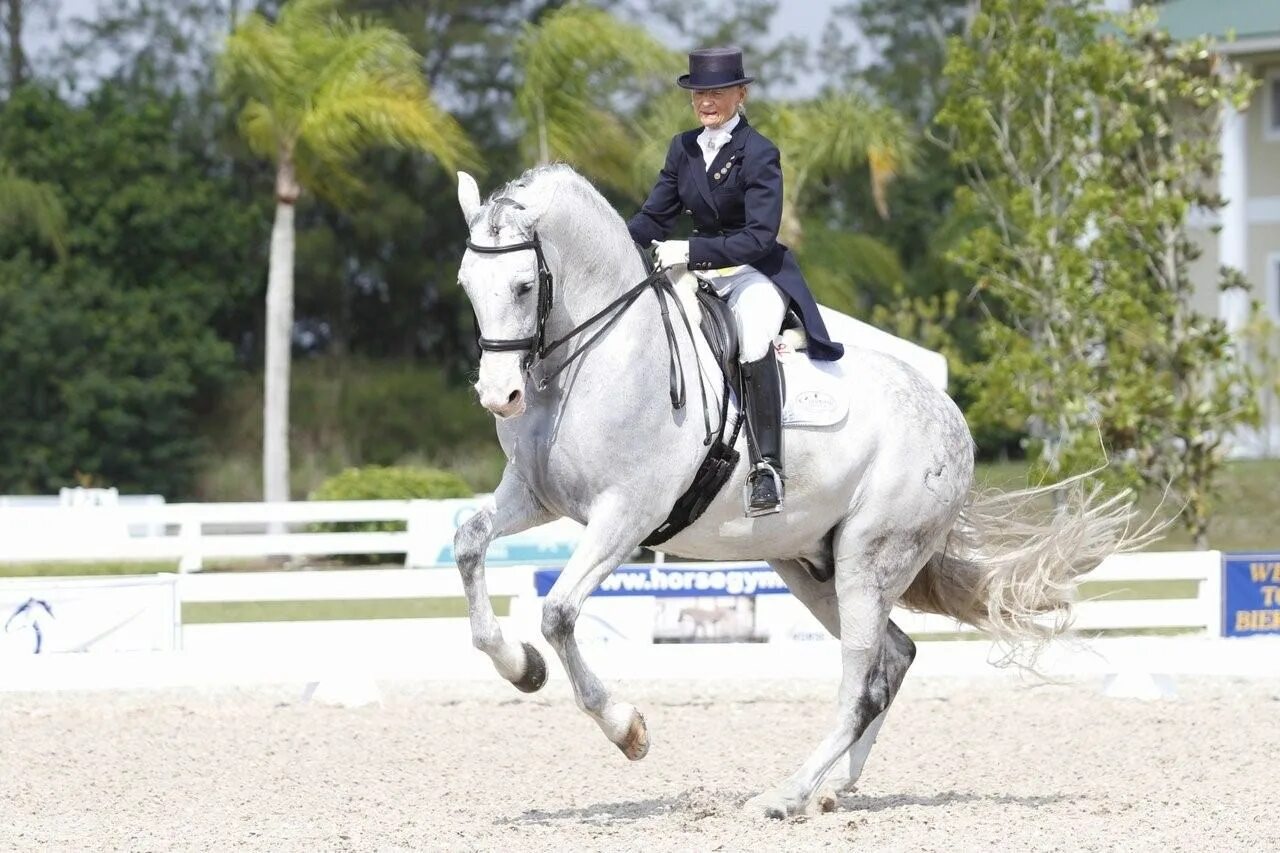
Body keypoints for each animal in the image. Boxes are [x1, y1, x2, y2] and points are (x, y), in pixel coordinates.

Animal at [450, 162, 1141, 814]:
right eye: (467, 286)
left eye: (523, 285)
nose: (499, 396)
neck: (597, 360)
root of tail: (949, 414)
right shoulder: (535, 497)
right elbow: (469, 543)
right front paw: (521, 668)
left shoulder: (626, 515)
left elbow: (559, 612)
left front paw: (628, 730)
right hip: (809, 564)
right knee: (893, 659)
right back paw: (833, 789)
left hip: (869, 556)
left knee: (862, 679)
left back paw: (785, 797)